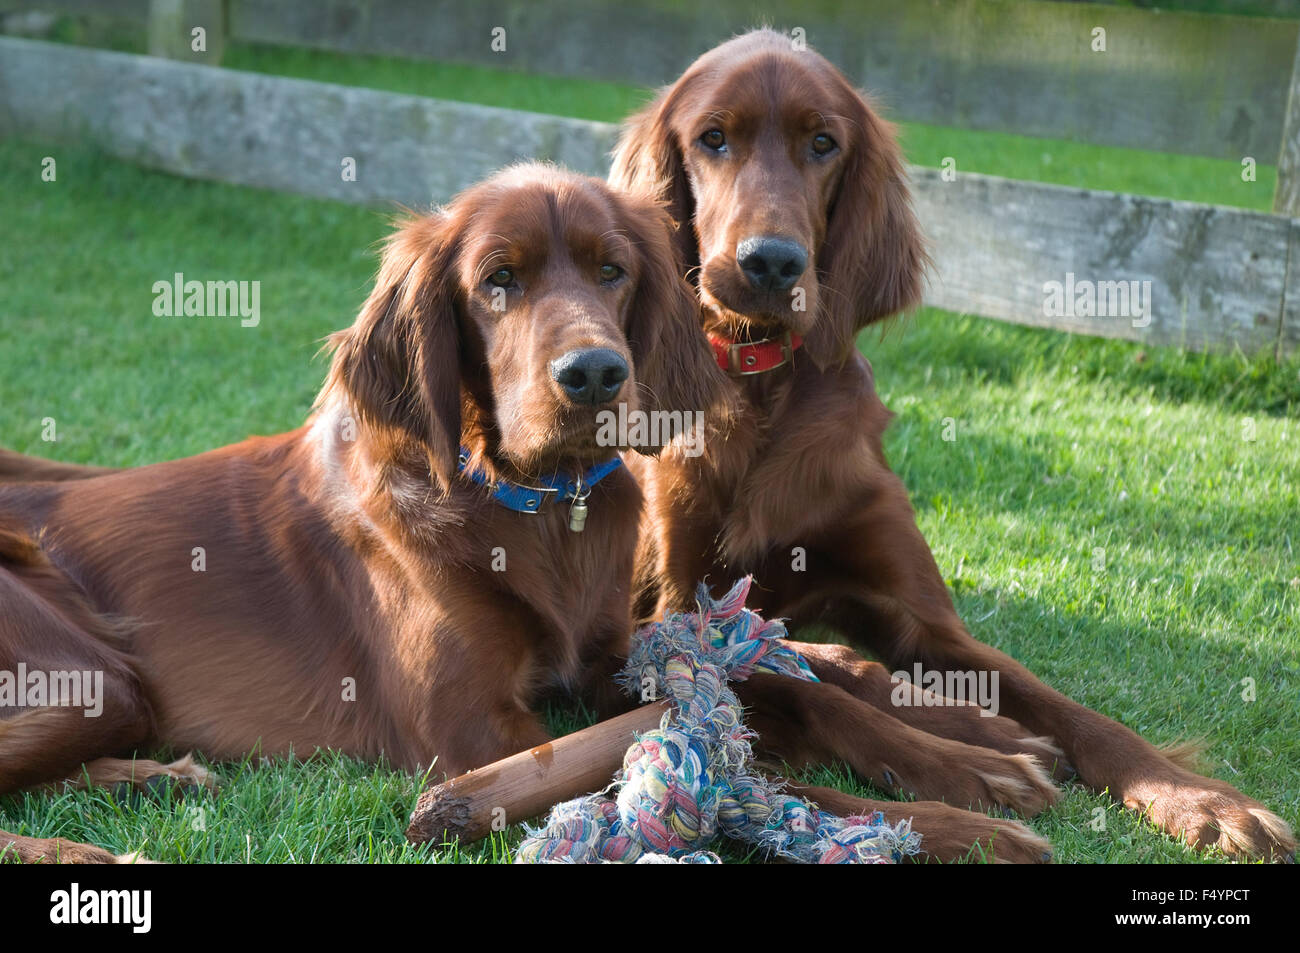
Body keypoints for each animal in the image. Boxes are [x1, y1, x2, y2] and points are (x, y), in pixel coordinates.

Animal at [0, 163, 728, 863]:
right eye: (499, 278)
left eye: (612, 271)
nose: (596, 373)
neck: (539, 508)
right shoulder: (473, 723)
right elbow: (589, 762)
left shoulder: (611, 652)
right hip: (97, 679)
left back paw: (154, 780)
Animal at [613, 31, 1294, 863]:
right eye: (712, 138)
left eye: (822, 143)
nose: (770, 261)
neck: (764, 394)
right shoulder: (673, 614)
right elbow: (797, 676)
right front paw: (967, 766)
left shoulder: (922, 622)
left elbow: (1066, 705)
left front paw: (1205, 798)